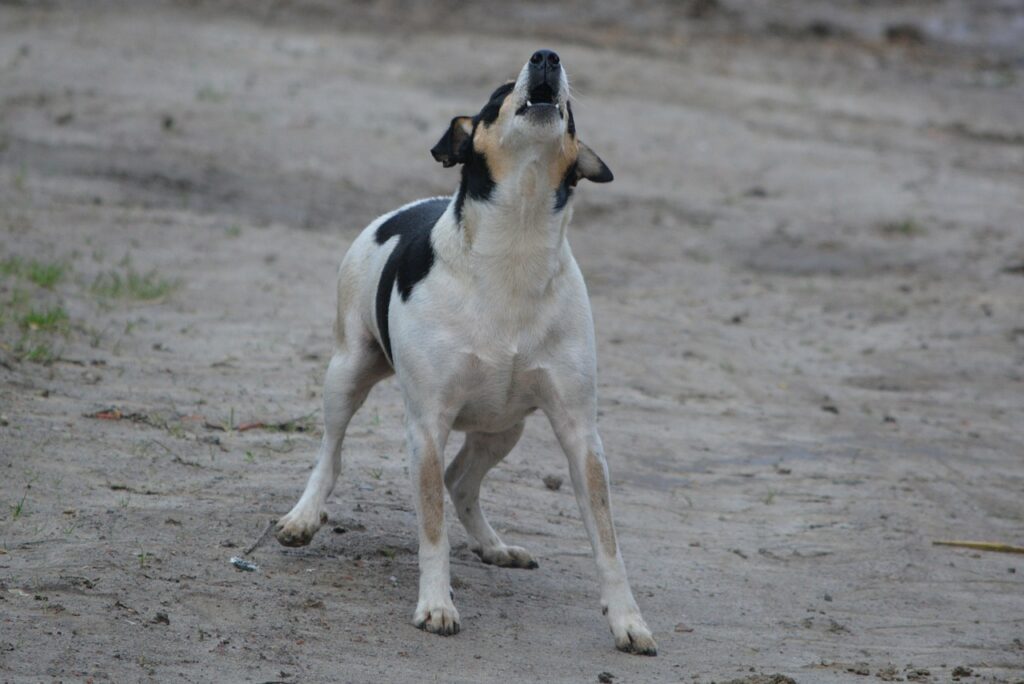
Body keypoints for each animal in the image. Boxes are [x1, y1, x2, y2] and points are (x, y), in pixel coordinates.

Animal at [272, 49, 655, 655]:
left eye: (571, 110)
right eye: (499, 94)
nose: (547, 57)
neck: (516, 247)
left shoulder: (580, 433)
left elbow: (607, 540)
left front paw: (627, 620)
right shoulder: (427, 426)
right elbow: (432, 529)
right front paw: (436, 604)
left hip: (504, 427)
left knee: (461, 481)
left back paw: (494, 545)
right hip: (346, 372)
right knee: (331, 455)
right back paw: (304, 517)